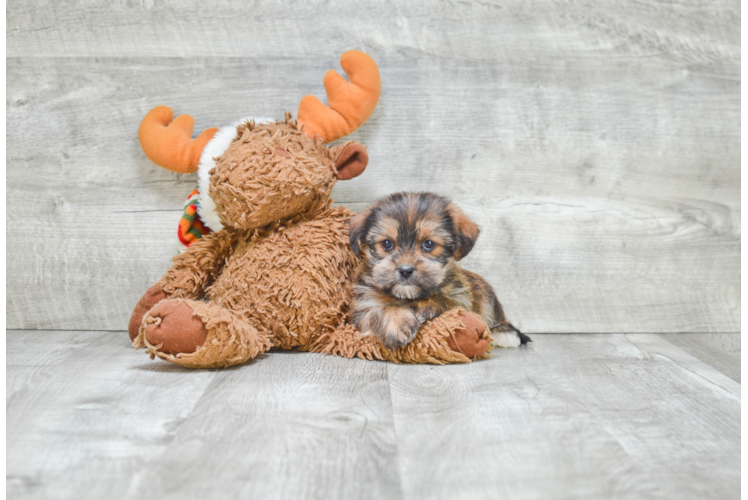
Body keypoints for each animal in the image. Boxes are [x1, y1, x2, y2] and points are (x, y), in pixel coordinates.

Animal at [348, 191, 528, 352]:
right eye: (387, 243)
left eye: (428, 244)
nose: (405, 270)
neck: (408, 296)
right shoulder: (363, 305)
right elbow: (377, 311)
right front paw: (396, 325)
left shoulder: (461, 299)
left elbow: (444, 301)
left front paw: (423, 307)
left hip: (485, 291)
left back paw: (504, 334)